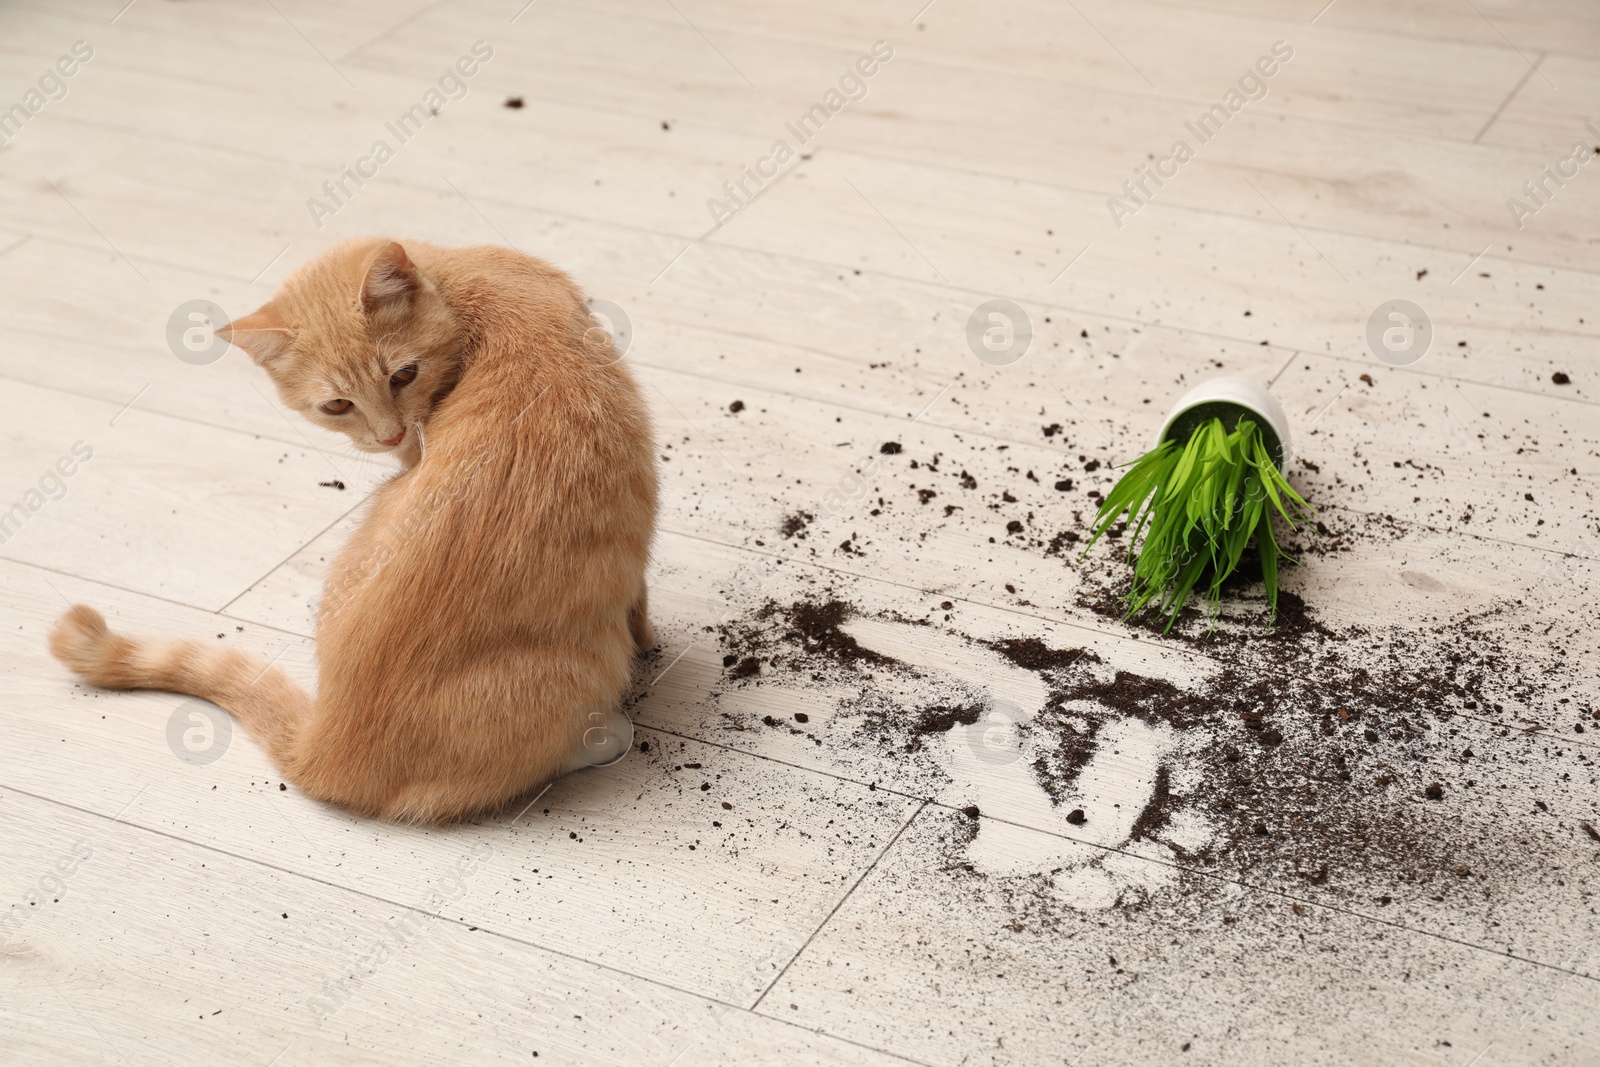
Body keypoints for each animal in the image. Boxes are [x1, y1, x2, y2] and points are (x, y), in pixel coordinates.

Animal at [46, 241, 656, 825]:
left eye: (403, 374)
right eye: (338, 404)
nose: (388, 438)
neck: (465, 285)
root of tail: (327, 747)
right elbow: (640, 601)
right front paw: (651, 643)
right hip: (586, 661)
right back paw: (604, 735)